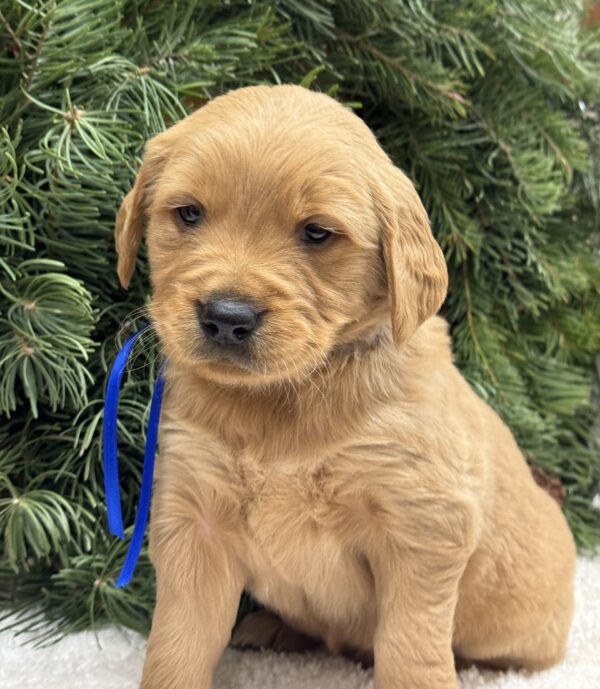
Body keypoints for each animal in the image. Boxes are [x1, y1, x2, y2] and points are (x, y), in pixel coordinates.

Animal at [113, 84, 576, 688]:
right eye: (189, 213)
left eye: (317, 233)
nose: (226, 317)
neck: (286, 398)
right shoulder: (196, 519)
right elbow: (178, 643)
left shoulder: (423, 523)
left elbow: (409, 643)